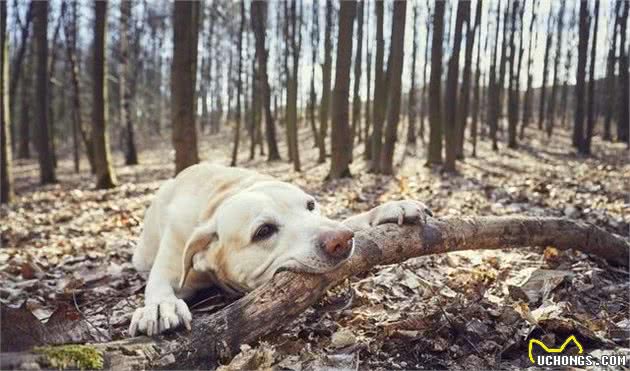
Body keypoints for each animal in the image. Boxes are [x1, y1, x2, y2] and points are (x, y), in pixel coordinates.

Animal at [130, 163, 432, 338]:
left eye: (310, 205)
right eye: (263, 231)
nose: (341, 241)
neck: (220, 198)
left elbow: (349, 219)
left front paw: (388, 209)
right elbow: (159, 284)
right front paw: (160, 305)